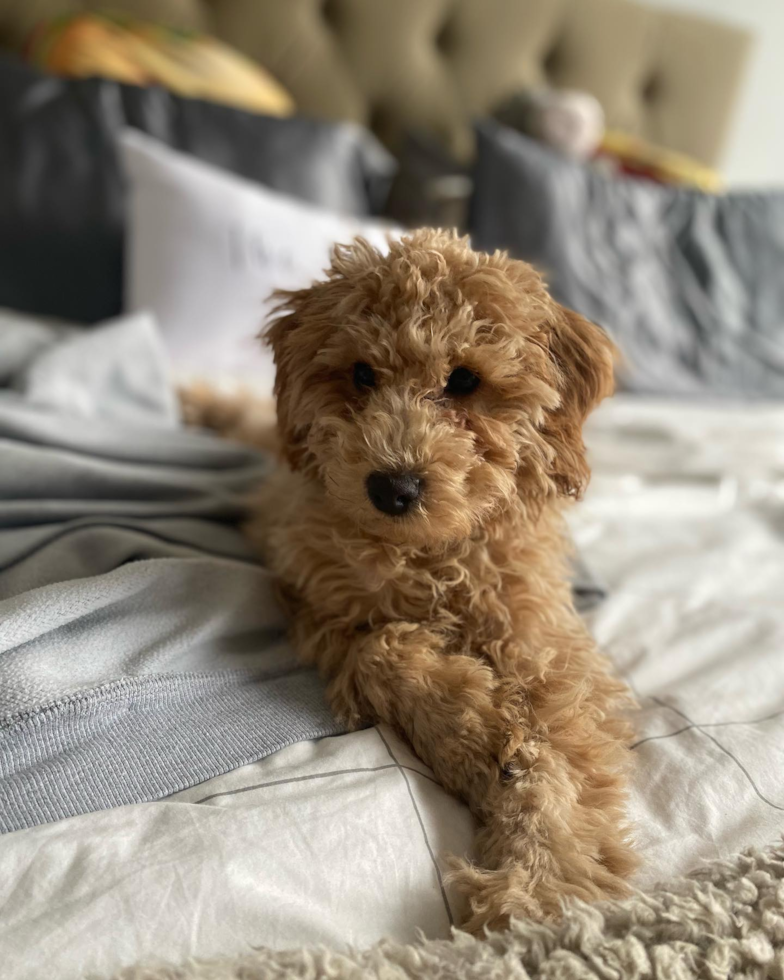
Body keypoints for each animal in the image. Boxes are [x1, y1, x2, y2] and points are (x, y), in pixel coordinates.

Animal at [188, 230, 636, 936]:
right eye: (362, 373)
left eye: (465, 380)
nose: (392, 487)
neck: (428, 559)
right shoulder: (322, 608)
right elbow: (383, 648)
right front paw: (473, 737)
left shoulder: (546, 652)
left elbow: (557, 762)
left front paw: (537, 889)